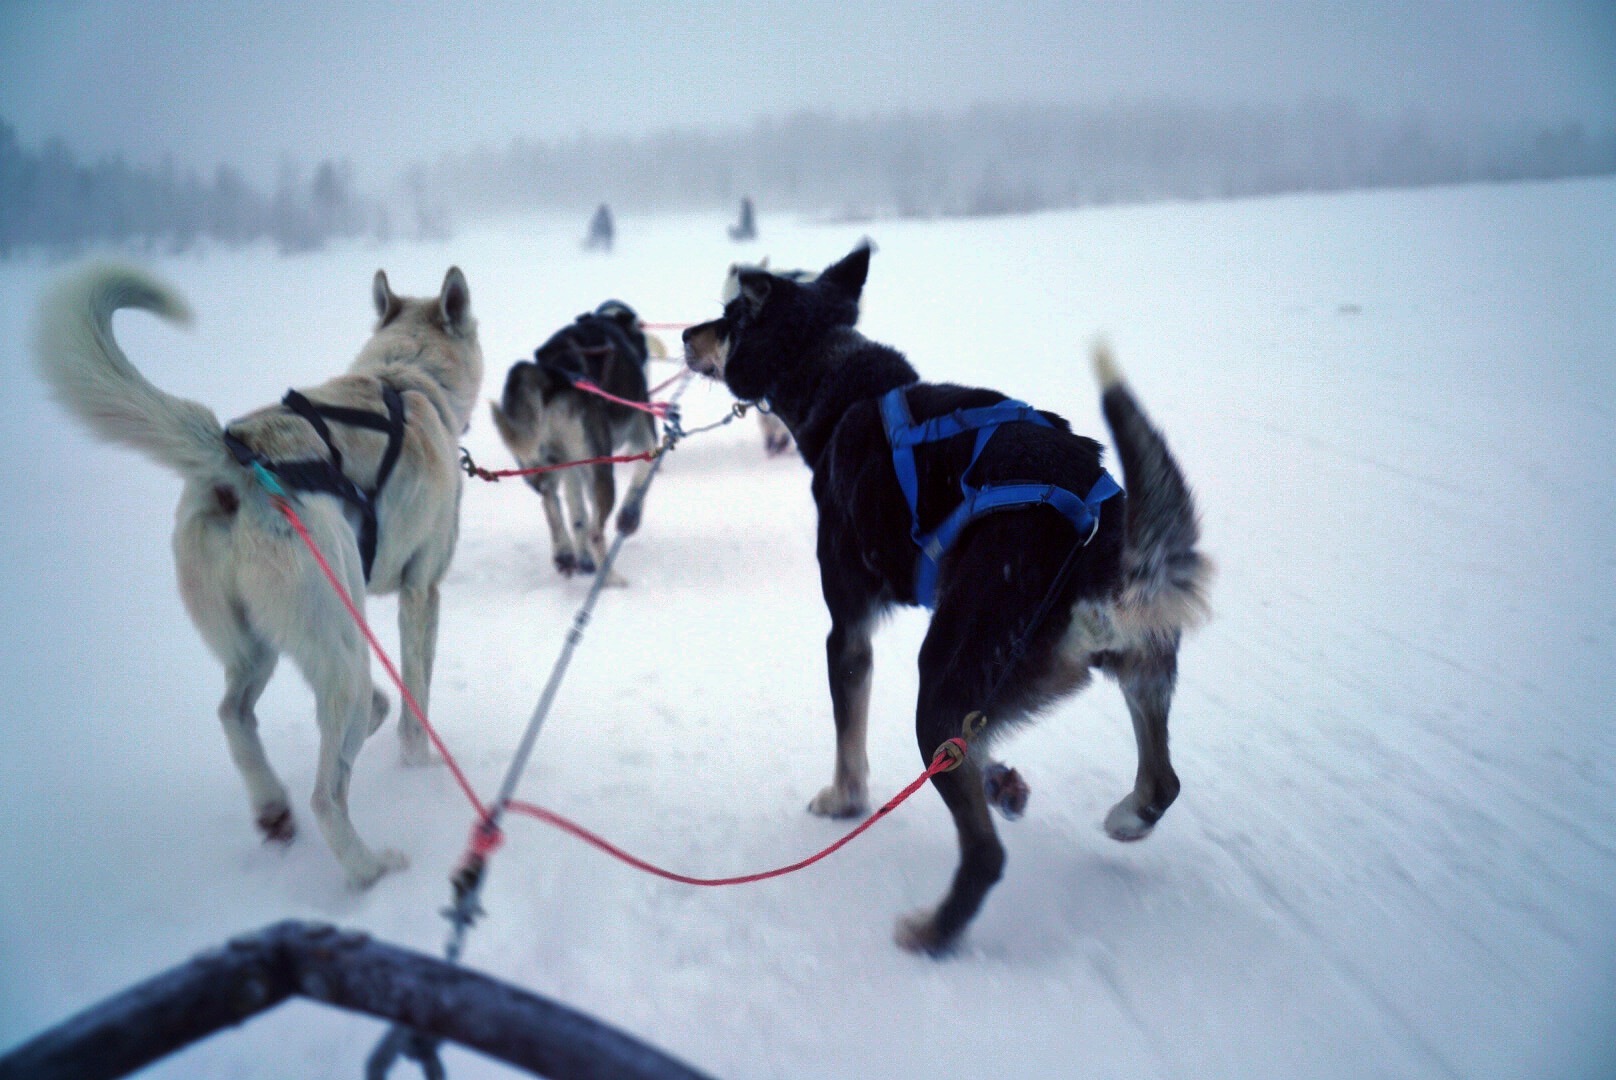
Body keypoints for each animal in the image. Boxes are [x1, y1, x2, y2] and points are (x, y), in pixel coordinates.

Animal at [34, 263, 478, 885]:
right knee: (328, 792)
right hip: (342, 646)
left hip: (257, 646)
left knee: (234, 713)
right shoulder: (421, 590)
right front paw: (419, 766)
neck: (406, 376)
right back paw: (370, 868)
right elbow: (417, 705)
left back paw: (273, 806)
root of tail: (236, 463)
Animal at [494, 299, 665, 578]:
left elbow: (577, 512)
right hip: (599, 468)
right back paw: (610, 577)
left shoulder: (573, 467)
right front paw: (630, 516)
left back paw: (566, 553)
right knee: (595, 528)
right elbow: (641, 480)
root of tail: (554, 377)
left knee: (552, 502)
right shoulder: (644, 439)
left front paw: (582, 555)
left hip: (546, 464)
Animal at [681, 247, 1215, 950]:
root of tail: (1099, 555)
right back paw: (1122, 815)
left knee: (985, 853)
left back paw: (933, 932)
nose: (685, 335)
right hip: (1132, 671)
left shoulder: (847, 633)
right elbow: (980, 751)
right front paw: (1003, 782)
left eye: (727, 316)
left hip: (937, 689)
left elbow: (849, 743)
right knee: (1161, 783)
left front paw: (842, 799)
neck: (842, 382)